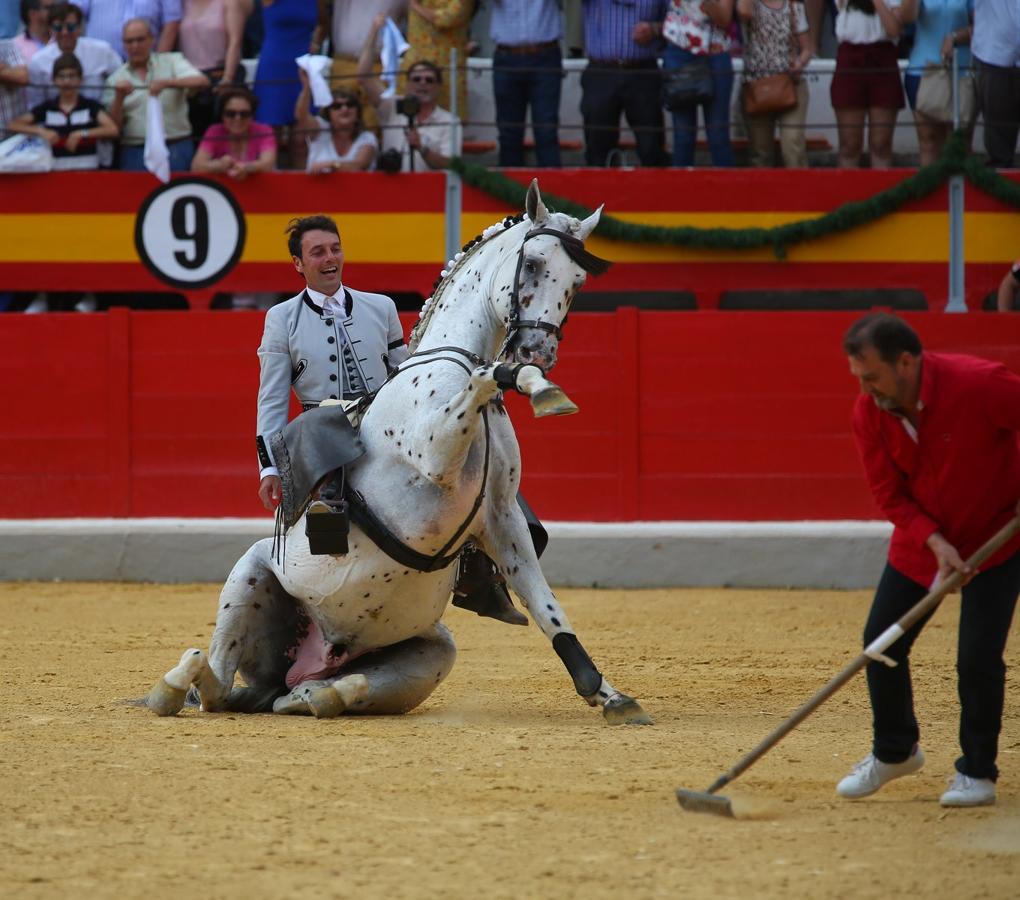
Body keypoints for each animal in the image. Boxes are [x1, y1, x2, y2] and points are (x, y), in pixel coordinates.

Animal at [145, 178, 652, 726]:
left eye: (577, 280)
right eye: (534, 263)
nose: (538, 353)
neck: (449, 360)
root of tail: (308, 658)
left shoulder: (501, 515)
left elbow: (547, 606)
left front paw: (609, 695)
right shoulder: (435, 457)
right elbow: (485, 375)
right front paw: (541, 389)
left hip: (433, 649)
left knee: (295, 694)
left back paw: (325, 692)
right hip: (251, 574)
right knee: (215, 683)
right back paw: (174, 684)